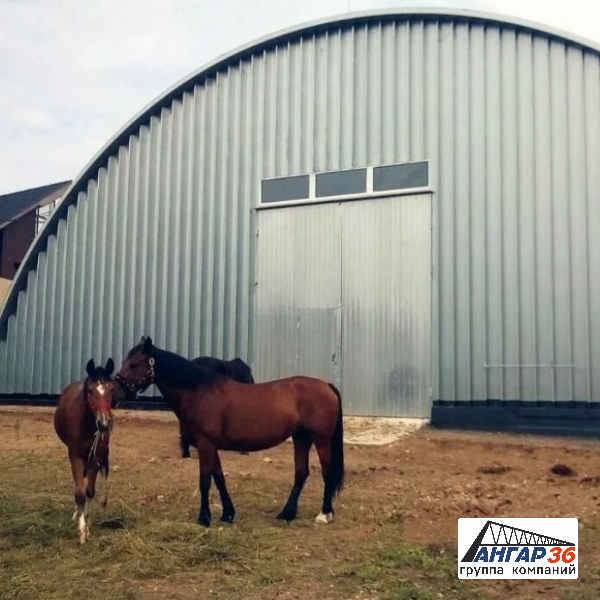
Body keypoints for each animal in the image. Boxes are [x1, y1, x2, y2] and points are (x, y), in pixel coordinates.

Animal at [54, 358, 116, 548]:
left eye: (112, 389)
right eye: (90, 391)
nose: (104, 424)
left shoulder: (96, 457)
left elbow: (89, 491)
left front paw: (86, 526)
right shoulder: (75, 456)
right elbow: (80, 493)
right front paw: (81, 532)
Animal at [115, 340, 344, 528]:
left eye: (134, 364)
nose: (115, 390)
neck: (201, 393)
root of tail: (327, 386)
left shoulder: (206, 445)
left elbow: (205, 481)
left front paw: (204, 518)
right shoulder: (211, 446)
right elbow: (219, 478)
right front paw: (227, 514)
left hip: (321, 440)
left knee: (327, 473)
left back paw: (324, 514)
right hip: (301, 438)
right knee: (301, 473)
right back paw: (287, 513)